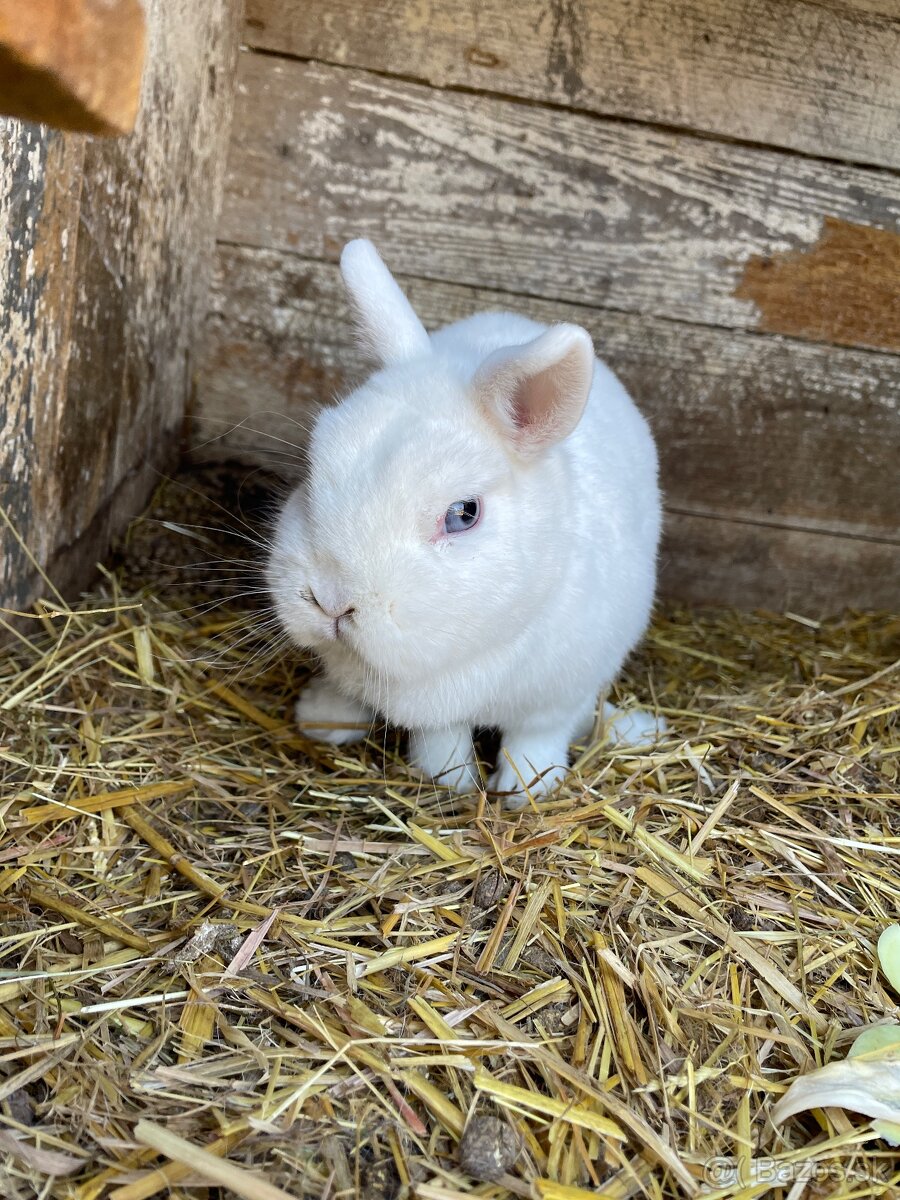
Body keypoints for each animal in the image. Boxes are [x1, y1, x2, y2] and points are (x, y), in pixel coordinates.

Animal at [264, 237, 667, 801]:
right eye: (311, 469)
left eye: (463, 514)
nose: (330, 601)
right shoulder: (434, 713)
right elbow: (441, 739)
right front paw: (450, 782)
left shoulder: (558, 695)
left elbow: (535, 740)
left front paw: (523, 791)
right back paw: (326, 717)